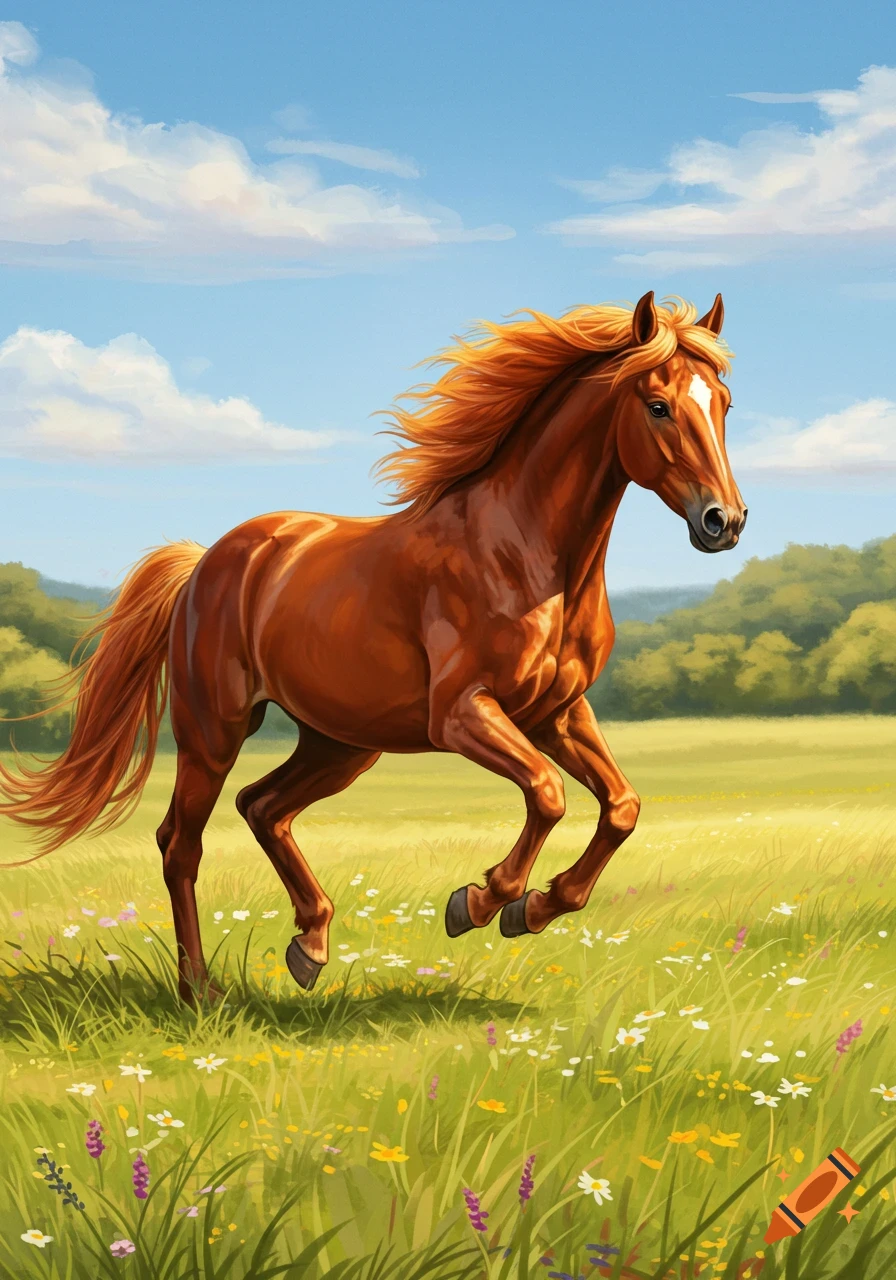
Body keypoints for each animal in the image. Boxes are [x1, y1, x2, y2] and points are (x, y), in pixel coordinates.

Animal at [0, 290, 746, 1004]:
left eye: (725, 404)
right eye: (657, 406)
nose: (724, 521)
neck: (525, 555)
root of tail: (206, 562)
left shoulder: (558, 712)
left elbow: (621, 807)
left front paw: (534, 907)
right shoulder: (463, 714)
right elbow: (548, 792)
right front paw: (479, 902)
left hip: (341, 743)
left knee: (261, 808)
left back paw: (310, 946)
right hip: (215, 729)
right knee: (181, 844)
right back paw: (200, 991)